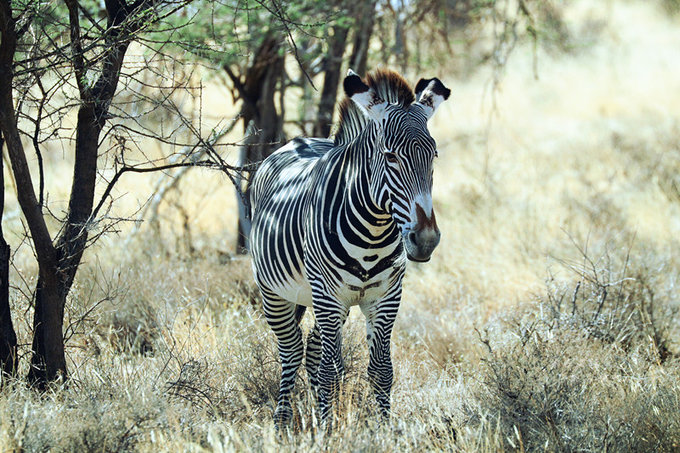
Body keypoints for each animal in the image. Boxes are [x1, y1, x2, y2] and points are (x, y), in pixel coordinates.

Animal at [250, 67, 452, 424]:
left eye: (434, 155)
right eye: (390, 156)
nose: (426, 240)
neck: (374, 232)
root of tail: (297, 142)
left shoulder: (386, 297)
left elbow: (381, 370)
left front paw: (382, 428)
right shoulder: (328, 296)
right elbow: (331, 371)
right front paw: (329, 430)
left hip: (331, 304)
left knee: (313, 350)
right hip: (276, 293)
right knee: (291, 351)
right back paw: (283, 419)